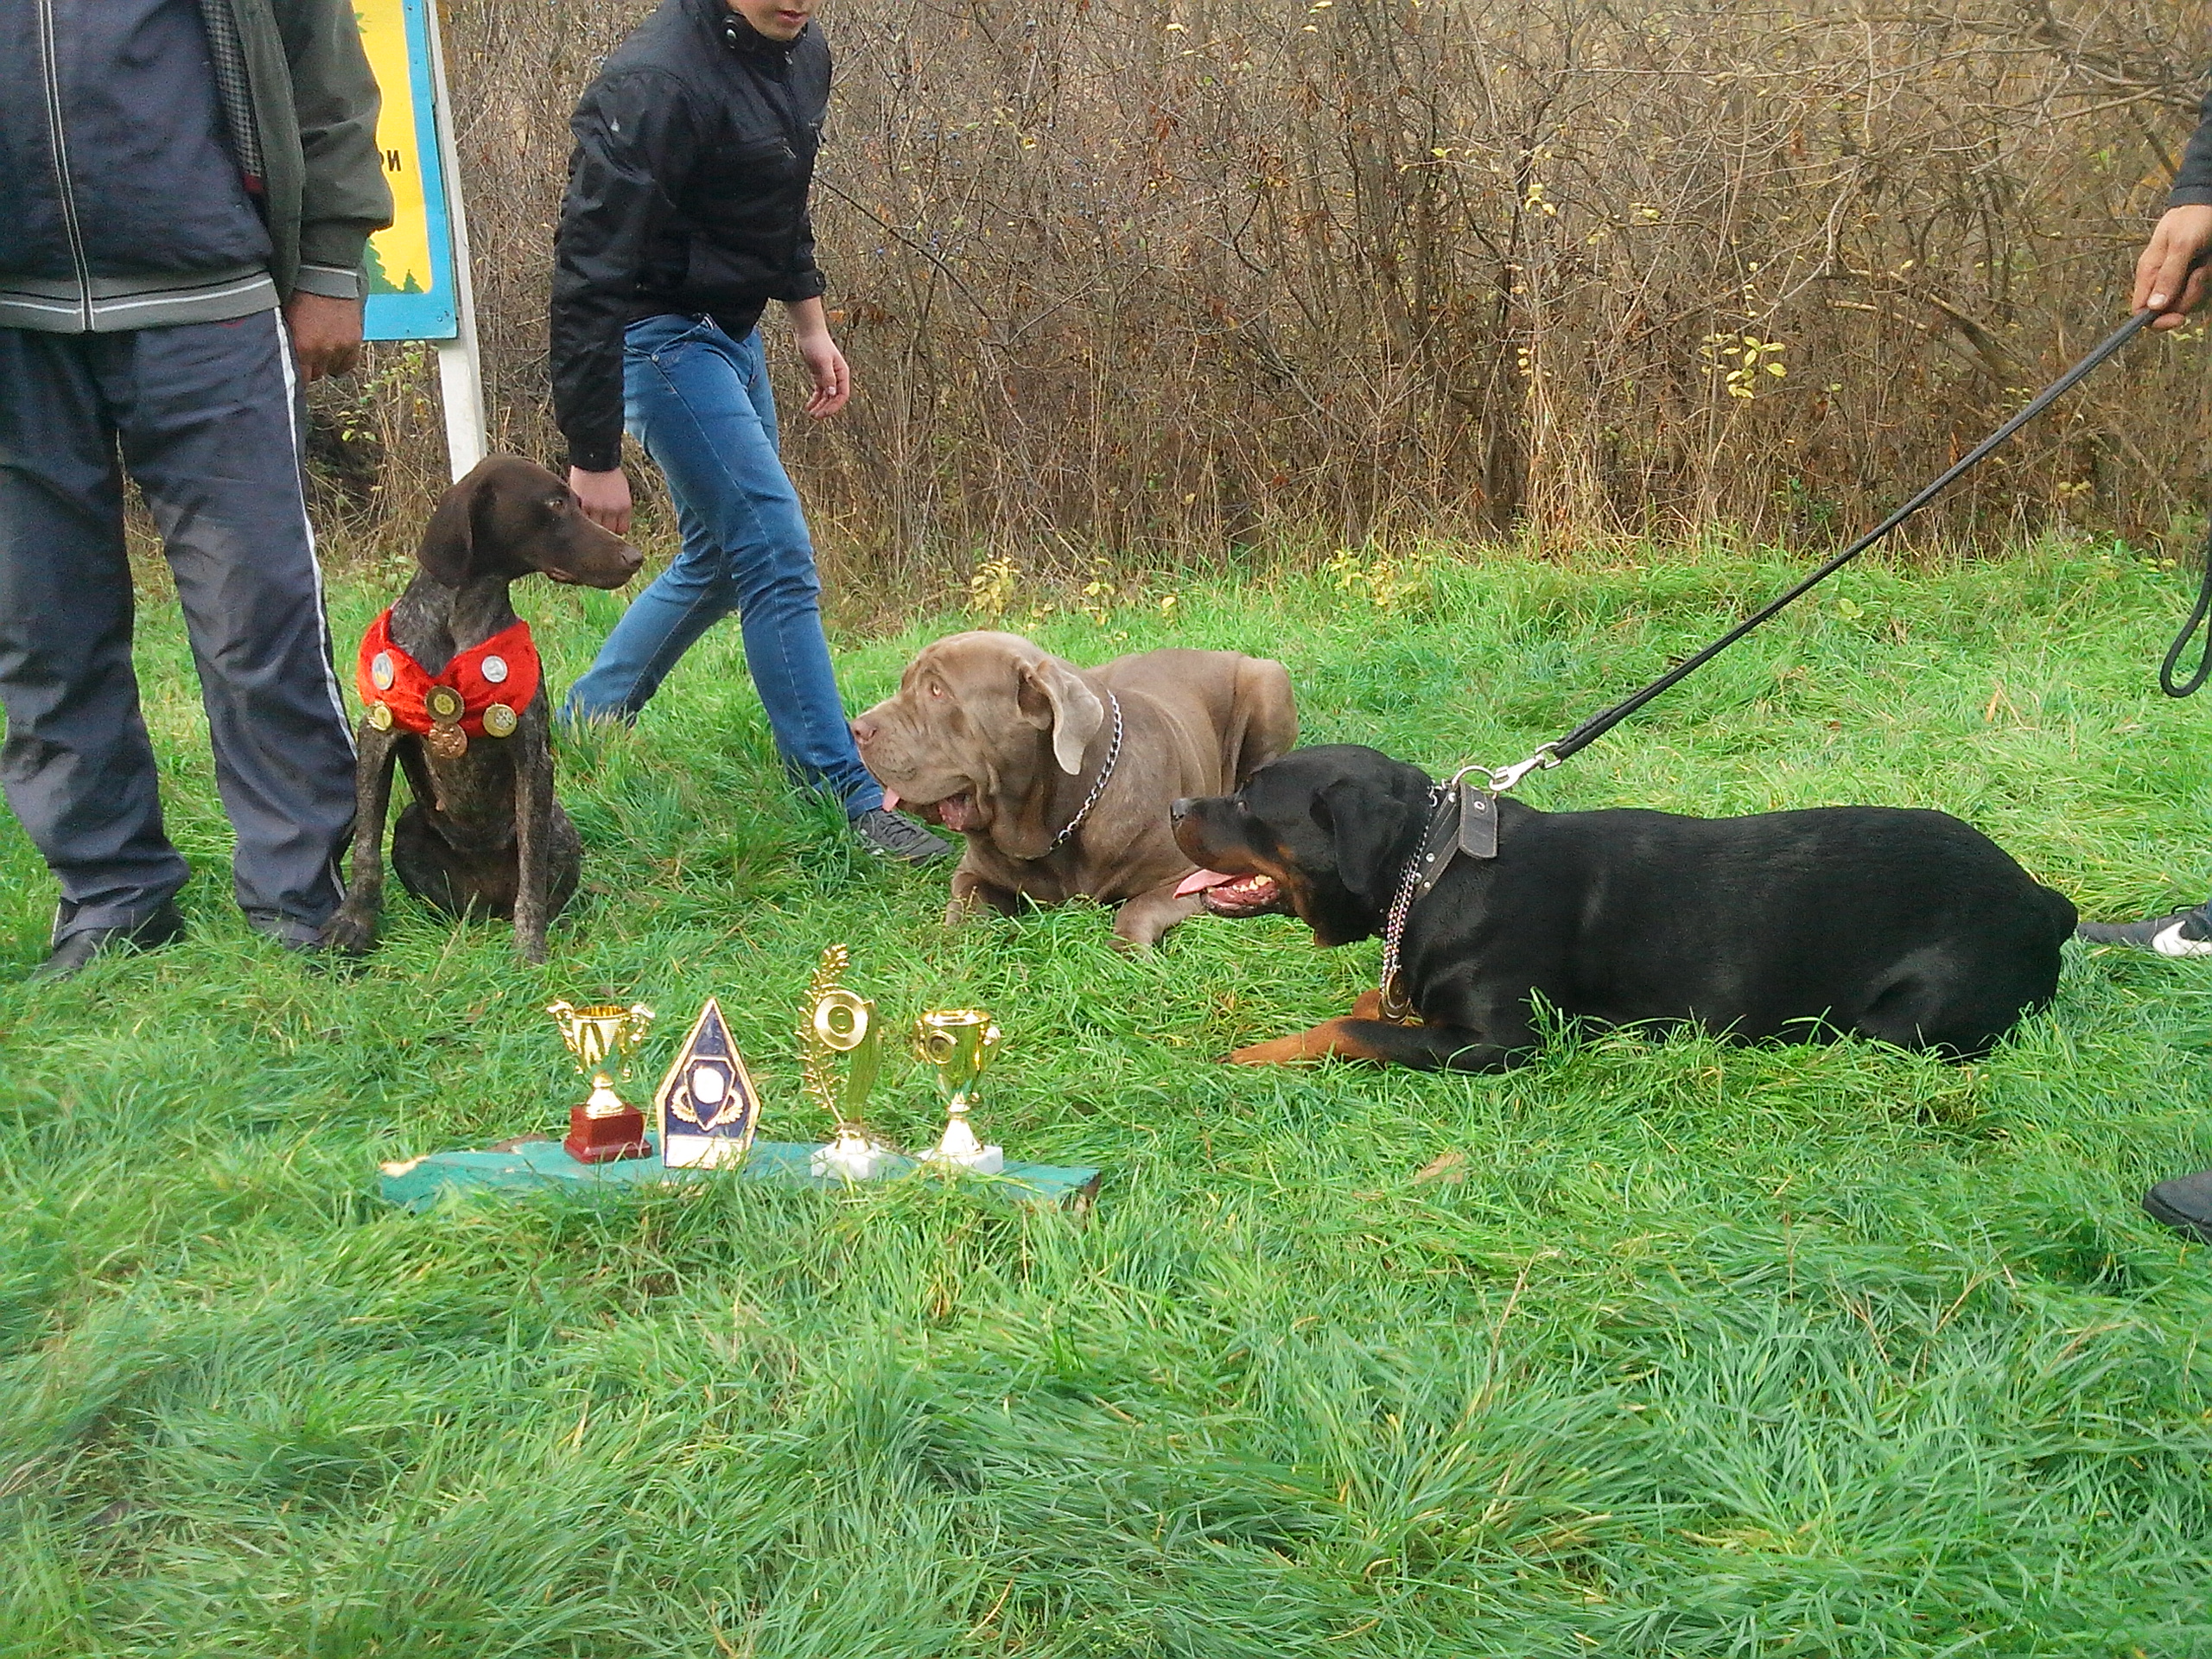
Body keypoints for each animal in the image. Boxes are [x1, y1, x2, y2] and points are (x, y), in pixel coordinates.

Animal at [321, 456, 642, 963]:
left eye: (575, 500)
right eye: (556, 503)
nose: (635, 557)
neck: (460, 624)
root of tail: (488, 901)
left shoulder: (531, 755)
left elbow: (530, 873)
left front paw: (529, 949)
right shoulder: (377, 736)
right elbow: (366, 850)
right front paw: (353, 924)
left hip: (558, 825)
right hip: (411, 824)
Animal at [851, 631, 1297, 947]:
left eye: (937, 691)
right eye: (906, 684)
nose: (857, 728)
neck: (1050, 822)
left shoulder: (1184, 877)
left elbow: (1136, 911)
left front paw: (1127, 953)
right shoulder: (973, 872)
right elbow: (963, 905)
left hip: (1269, 679)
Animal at [1171, 744, 2075, 1069]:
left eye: (1250, 800)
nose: (1178, 805)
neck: (1429, 869)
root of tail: (2042, 903)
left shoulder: (1502, 1044)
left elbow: (1351, 1028)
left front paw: (1254, 1055)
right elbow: (1375, 1003)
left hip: (1907, 1019)